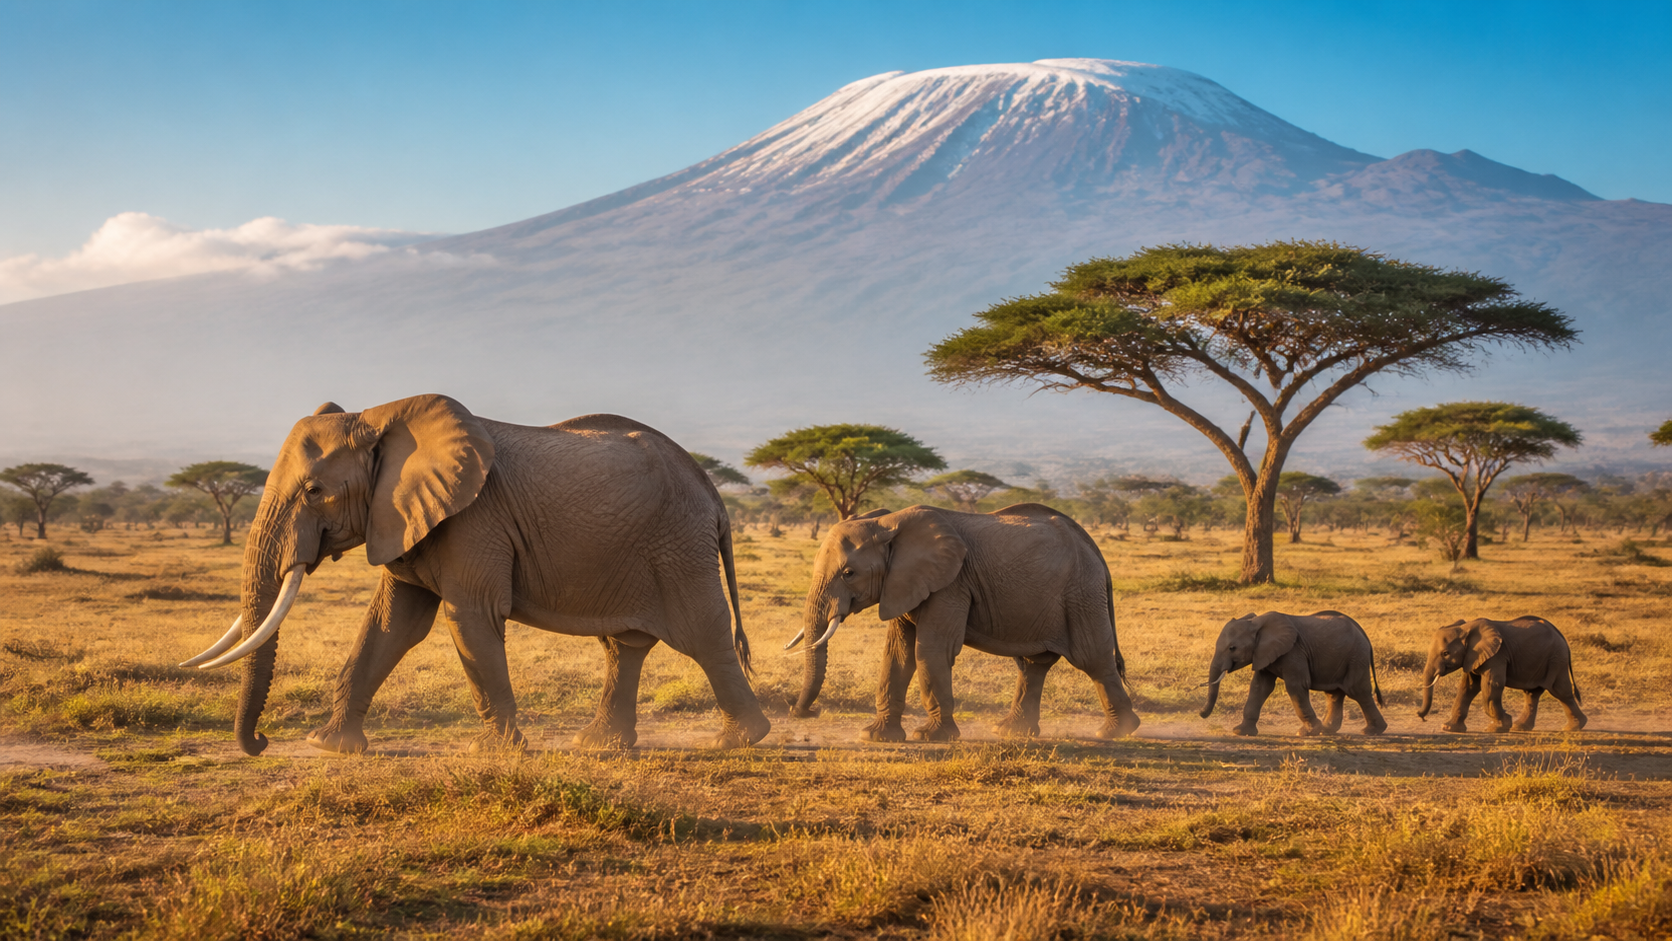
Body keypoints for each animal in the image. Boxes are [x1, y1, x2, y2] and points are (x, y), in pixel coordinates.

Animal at [178, 394, 771, 755]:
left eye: (313, 491)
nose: (260, 742)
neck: (380, 415)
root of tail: (713, 494)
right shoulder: (404, 517)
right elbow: (390, 626)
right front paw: (329, 747)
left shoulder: (474, 519)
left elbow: (470, 617)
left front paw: (493, 752)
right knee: (625, 645)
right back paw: (599, 747)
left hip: (679, 545)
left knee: (703, 635)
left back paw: (740, 741)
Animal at [787, 503, 1141, 742]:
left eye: (849, 573)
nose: (802, 711)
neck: (886, 522)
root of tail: (1092, 544)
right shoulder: (902, 584)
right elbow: (897, 655)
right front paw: (875, 736)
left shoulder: (951, 583)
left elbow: (930, 650)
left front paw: (929, 737)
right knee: (1033, 665)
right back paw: (1012, 732)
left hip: (1081, 592)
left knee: (1092, 659)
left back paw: (1116, 732)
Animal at [1199, 610, 1386, 736]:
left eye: (1232, 648)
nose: (1200, 713)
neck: (1256, 623)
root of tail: (1363, 632)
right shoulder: (1263, 653)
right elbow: (1260, 687)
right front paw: (1240, 732)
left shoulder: (1294, 651)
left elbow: (1296, 686)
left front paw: (1306, 733)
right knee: (1334, 694)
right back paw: (1328, 731)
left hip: (1356, 656)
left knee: (1357, 691)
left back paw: (1371, 731)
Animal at [1416, 616, 1585, 732]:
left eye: (1446, 653)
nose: (1421, 717)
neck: (1466, 628)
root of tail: (1561, 636)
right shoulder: (1473, 657)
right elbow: (1468, 687)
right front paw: (1448, 728)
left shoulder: (1496, 655)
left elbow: (1491, 685)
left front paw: (1497, 728)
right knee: (1532, 693)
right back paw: (1519, 727)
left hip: (1556, 658)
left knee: (1559, 691)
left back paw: (1573, 728)